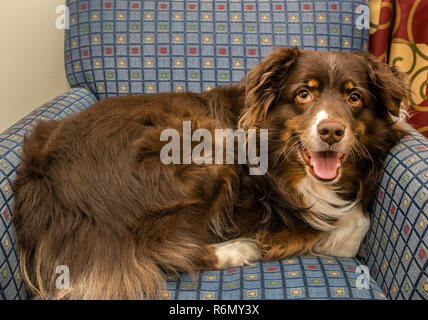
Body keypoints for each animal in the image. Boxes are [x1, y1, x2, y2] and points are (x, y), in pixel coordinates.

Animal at [12, 48, 408, 300]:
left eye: (354, 98)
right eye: (303, 95)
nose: (331, 132)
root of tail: (46, 179)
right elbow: (345, 226)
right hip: (204, 144)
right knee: (160, 248)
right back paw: (236, 250)